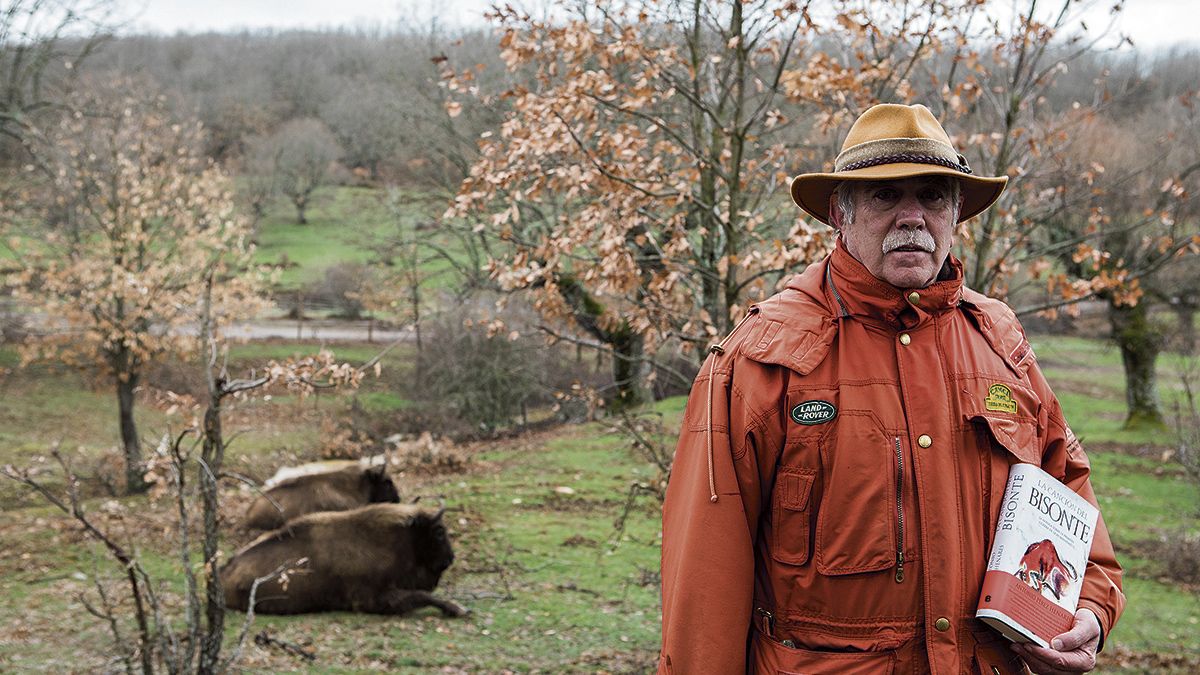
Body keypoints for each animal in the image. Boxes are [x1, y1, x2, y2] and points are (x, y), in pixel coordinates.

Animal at [223, 499, 465, 614]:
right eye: (439, 532)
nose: (451, 558)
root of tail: (225, 570)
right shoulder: (375, 599)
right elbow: (422, 596)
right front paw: (459, 609)